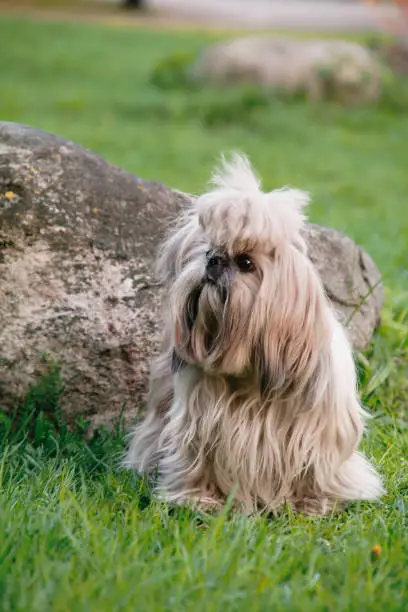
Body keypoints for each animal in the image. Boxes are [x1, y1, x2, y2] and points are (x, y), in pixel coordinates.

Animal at [123, 155, 382, 512]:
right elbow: (197, 457)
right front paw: (198, 498)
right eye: (209, 251)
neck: (249, 377)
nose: (213, 260)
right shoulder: (200, 423)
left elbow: (313, 469)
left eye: (245, 262)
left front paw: (312, 503)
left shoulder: (317, 432)